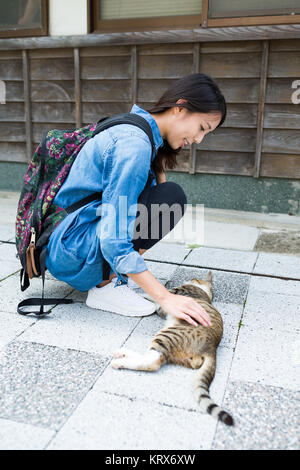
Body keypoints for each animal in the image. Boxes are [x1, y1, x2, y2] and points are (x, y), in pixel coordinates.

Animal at [110, 270, 234, 428]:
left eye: (195, 278)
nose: (191, 277)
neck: (207, 294)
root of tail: (212, 348)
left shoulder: (173, 295)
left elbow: (154, 295)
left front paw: (139, 293)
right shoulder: (164, 308)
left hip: (168, 335)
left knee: (154, 361)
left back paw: (120, 359)